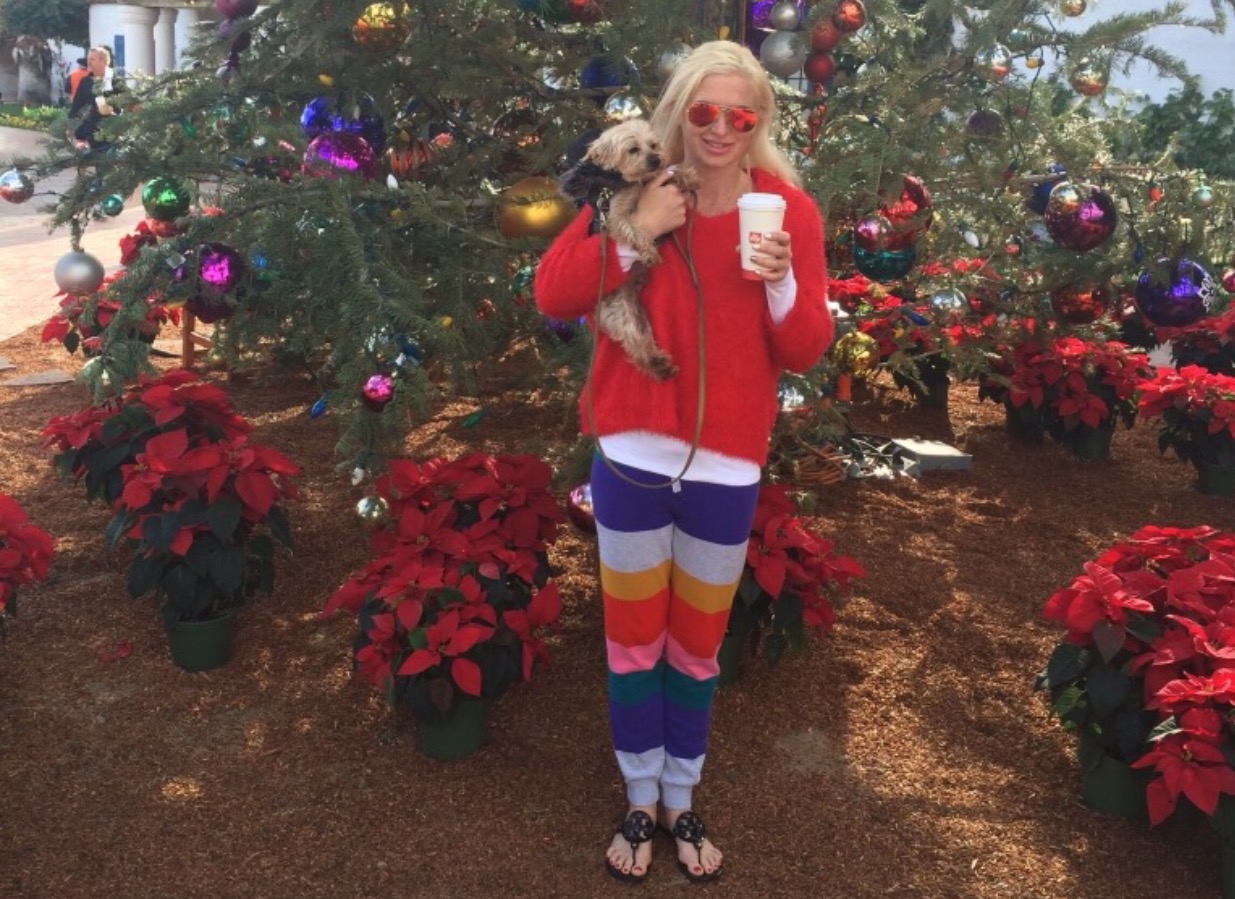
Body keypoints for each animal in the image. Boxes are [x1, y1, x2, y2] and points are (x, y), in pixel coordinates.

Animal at [560, 118, 698, 380]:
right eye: (633, 149)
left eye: (654, 145)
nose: (655, 159)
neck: (630, 180)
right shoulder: (615, 213)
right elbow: (632, 230)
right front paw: (649, 253)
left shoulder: (652, 179)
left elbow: (669, 173)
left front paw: (686, 175)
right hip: (621, 315)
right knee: (635, 342)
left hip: (633, 316)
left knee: (640, 344)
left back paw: (660, 365)